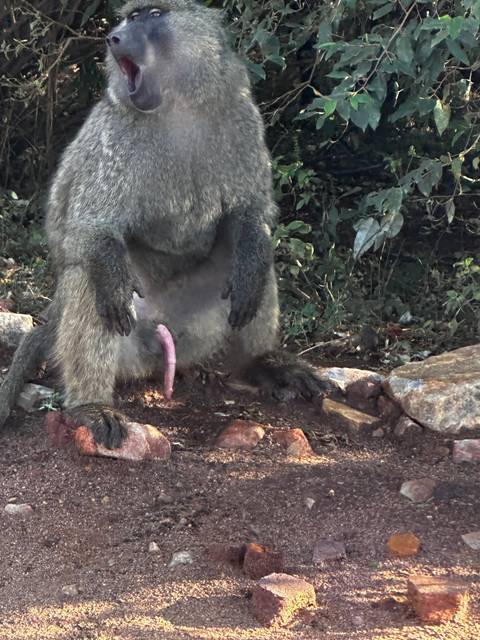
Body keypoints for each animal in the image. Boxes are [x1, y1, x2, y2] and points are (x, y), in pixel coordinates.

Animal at [0, 0, 328, 447]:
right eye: (127, 17)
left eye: (152, 14)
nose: (113, 37)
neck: (178, 106)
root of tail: (160, 335)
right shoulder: (114, 136)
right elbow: (90, 227)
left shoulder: (242, 115)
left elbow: (250, 213)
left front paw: (251, 270)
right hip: (122, 337)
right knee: (89, 277)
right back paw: (91, 406)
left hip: (199, 328)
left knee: (255, 254)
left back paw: (264, 362)